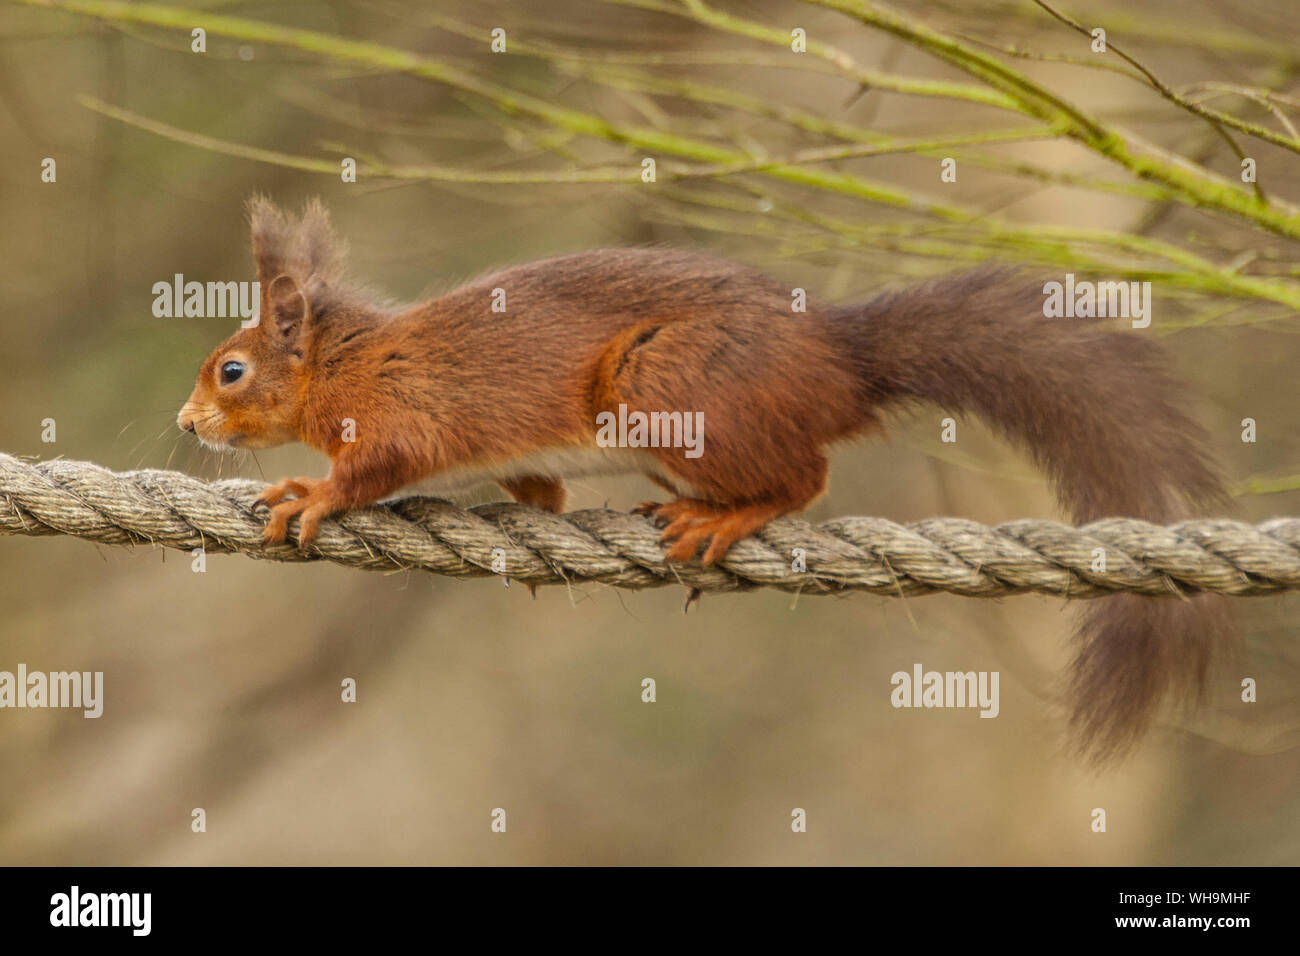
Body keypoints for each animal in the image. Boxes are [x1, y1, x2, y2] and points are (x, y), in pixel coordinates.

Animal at [179, 197, 1230, 760]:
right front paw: (534, 512)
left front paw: (308, 494)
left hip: (666, 387)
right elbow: (538, 492)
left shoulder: (401, 413)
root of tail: (838, 362)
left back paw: (723, 518)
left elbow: (373, 471)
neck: (347, 359)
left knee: (805, 475)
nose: (185, 423)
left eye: (229, 371)